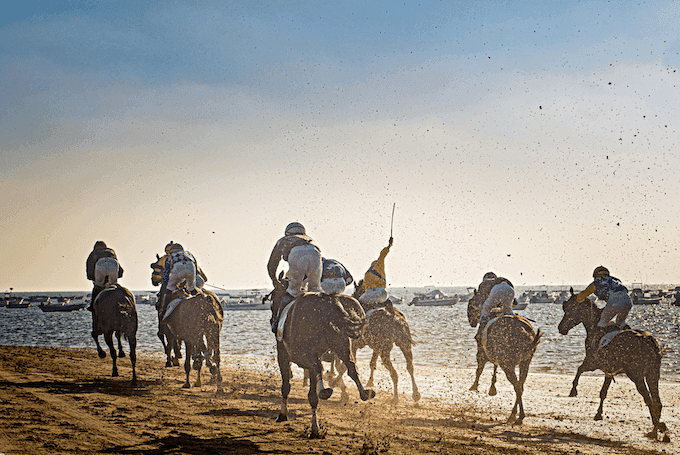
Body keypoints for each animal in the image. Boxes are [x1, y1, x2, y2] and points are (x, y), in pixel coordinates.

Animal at [270, 280, 378, 436]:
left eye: (272, 301)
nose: (272, 322)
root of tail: (330, 303)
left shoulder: (283, 355)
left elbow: (286, 386)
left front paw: (282, 414)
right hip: (341, 344)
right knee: (350, 366)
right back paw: (363, 393)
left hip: (309, 352)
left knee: (318, 368)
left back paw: (322, 398)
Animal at [464, 294, 540, 426]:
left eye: (470, 305)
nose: (471, 322)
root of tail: (525, 331)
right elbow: (494, 367)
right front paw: (492, 387)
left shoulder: (482, 353)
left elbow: (479, 369)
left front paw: (475, 385)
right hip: (525, 362)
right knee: (520, 385)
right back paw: (517, 415)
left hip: (508, 364)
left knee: (517, 386)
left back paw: (516, 415)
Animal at [556, 288, 668, 442]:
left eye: (568, 308)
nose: (560, 328)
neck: (595, 326)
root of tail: (651, 342)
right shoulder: (609, 371)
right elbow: (603, 391)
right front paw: (598, 413)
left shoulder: (593, 361)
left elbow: (579, 369)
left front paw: (573, 390)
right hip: (653, 374)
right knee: (657, 401)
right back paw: (659, 429)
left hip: (637, 376)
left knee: (649, 400)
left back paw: (655, 430)